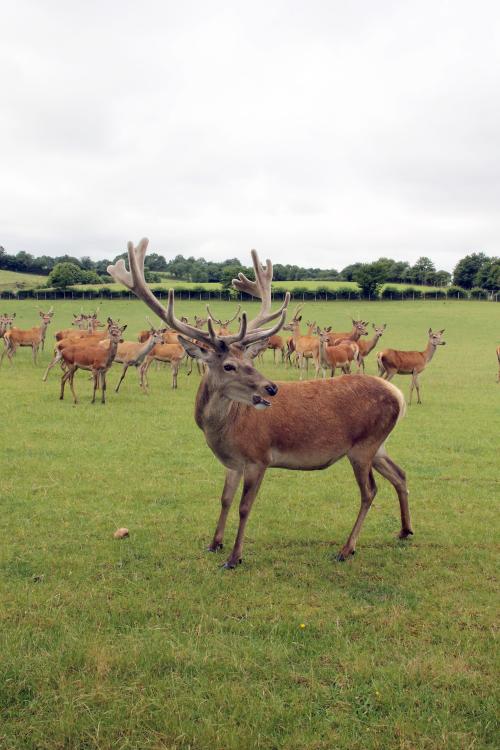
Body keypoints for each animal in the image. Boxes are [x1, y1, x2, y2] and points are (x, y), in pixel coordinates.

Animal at [107, 241, 412, 568]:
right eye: (229, 365)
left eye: (250, 361)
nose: (271, 387)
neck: (225, 432)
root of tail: (398, 394)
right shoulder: (232, 463)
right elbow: (225, 500)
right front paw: (214, 543)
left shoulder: (258, 457)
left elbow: (244, 507)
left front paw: (234, 557)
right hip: (378, 445)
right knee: (399, 474)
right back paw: (405, 530)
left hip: (363, 446)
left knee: (369, 491)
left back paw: (347, 548)